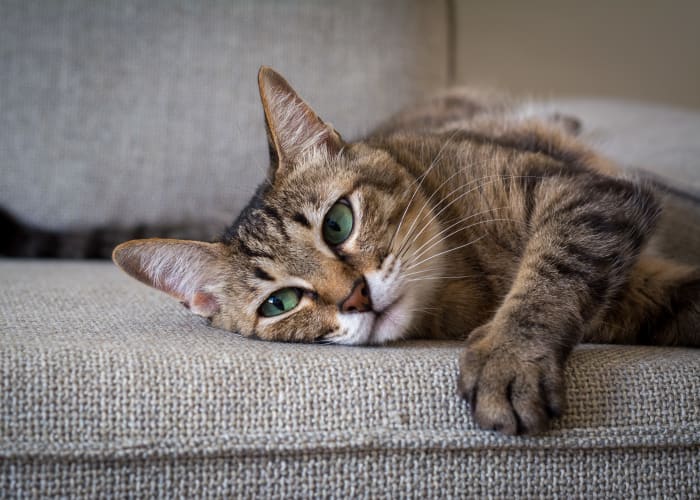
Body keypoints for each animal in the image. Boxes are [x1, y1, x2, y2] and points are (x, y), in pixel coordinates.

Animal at [6, 66, 700, 434]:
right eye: (280, 303)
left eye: (338, 224)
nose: (357, 298)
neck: (470, 278)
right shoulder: (638, 287)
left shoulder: (586, 194)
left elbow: (554, 270)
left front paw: (510, 355)